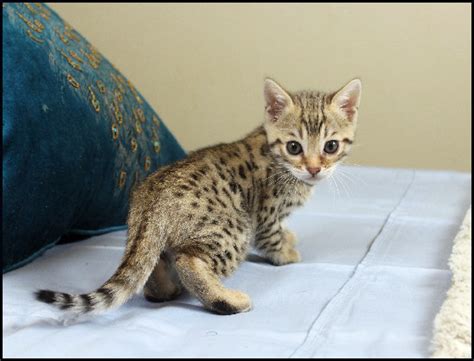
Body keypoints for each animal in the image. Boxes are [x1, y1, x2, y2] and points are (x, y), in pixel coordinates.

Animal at [37, 76, 362, 316]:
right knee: (187, 259)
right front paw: (285, 253)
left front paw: (289, 238)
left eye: (331, 146)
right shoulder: (265, 214)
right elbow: (271, 237)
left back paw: (166, 289)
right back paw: (228, 300)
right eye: (294, 147)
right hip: (233, 228)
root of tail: (150, 199)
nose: (314, 168)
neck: (277, 159)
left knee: (155, 267)